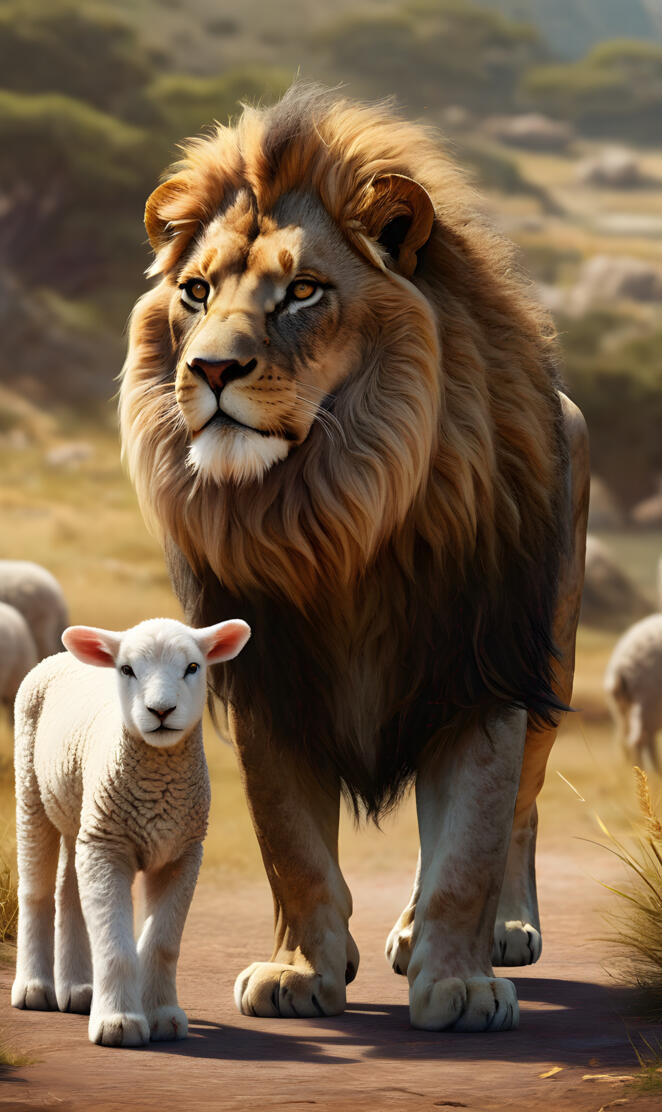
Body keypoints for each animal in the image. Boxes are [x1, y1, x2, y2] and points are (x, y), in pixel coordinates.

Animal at [11, 616, 251, 1048]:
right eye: (126, 669)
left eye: (193, 667)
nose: (161, 710)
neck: (159, 783)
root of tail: (58, 655)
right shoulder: (109, 847)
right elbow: (115, 945)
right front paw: (118, 1022)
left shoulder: (182, 851)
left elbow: (163, 943)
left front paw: (162, 1015)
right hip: (33, 792)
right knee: (36, 889)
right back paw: (35, 988)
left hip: (82, 813)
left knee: (69, 889)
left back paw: (78, 990)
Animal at [120, 85, 589, 1032]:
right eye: (195, 291)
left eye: (302, 291)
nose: (210, 368)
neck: (333, 516)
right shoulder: (270, 682)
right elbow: (292, 847)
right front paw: (302, 969)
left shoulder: (481, 669)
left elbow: (468, 849)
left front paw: (459, 983)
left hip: (550, 659)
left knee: (521, 811)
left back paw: (498, 929)